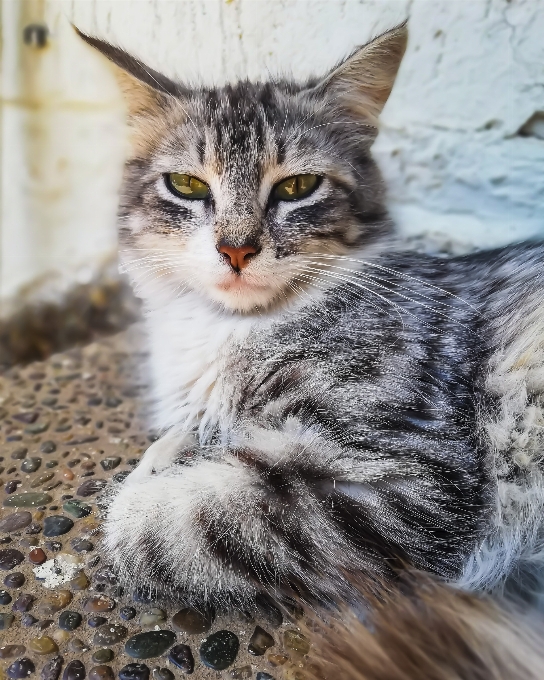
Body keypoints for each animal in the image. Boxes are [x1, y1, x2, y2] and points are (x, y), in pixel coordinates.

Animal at [76, 25, 544, 612]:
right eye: (186, 185)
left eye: (297, 188)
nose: (236, 250)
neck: (227, 328)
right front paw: (176, 448)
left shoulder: (408, 471)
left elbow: (159, 527)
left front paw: (150, 479)